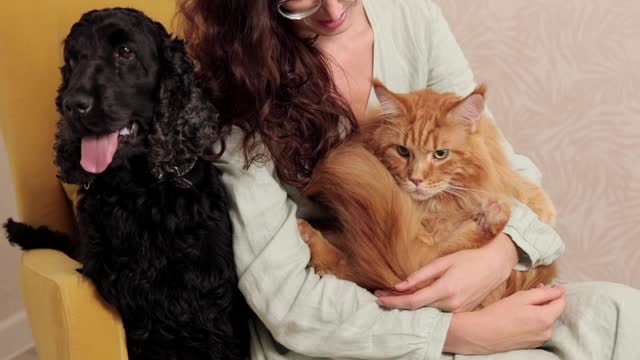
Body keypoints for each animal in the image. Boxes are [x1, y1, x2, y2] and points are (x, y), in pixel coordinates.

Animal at [298, 81, 556, 306]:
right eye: (402, 151)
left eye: (440, 154)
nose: (416, 179)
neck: (438, 206)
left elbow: (515, 181)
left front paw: (542, 208)